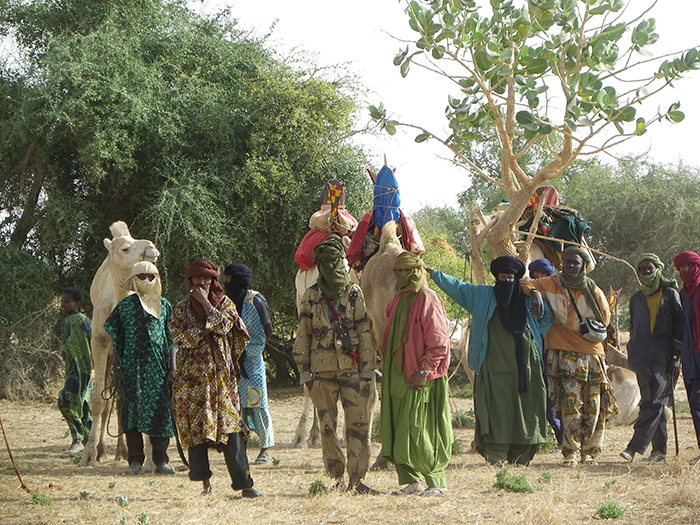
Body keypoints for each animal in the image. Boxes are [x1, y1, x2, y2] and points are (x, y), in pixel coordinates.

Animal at [80, 221, 159, 466]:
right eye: (125, 248)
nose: (151, 249)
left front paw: (151, 458)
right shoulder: (99, 342)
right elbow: (98, 401)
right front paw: (89, 455)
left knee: (120, 402)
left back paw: (122, 452)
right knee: (110, 402)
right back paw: (104, 450)